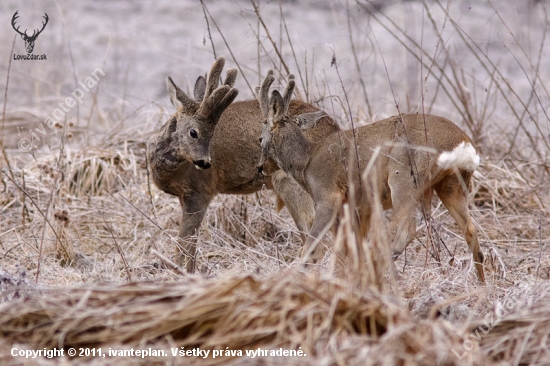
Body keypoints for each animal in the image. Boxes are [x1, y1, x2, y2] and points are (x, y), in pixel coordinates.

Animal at [258, 71, 488, 284]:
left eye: (260, 138)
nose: (260, 168)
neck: (306, 161)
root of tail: (461, 142)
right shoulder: (356, 206)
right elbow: (349, 247)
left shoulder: (327, 195)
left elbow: (311, 245)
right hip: (450, 185)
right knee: (470, 229)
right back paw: (482, 285)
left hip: (404, 176)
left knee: (407, 229)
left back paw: (380, 267)